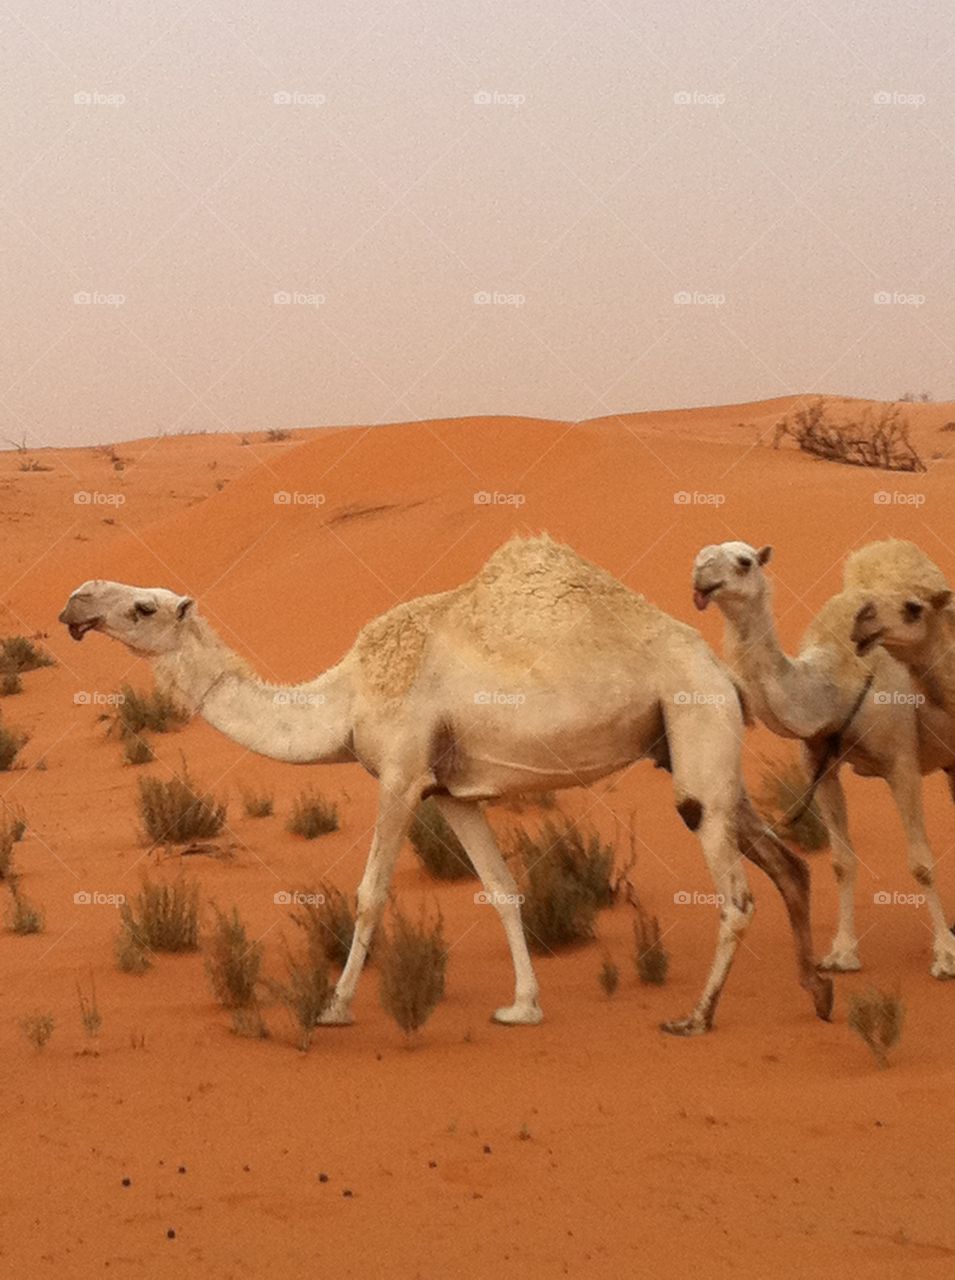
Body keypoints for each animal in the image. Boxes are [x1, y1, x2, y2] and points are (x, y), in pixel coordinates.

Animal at [61, 535, 834, 1034]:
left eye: (144, 608)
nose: (76, 602)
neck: (346, 697)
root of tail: (722, 670)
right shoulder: (453, 795)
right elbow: (502, 890)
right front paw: (523, 1006)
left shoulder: (402, 773)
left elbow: (371, 894)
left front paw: (335, 1007)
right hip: (691, 750)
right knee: (787, 861)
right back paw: (817, 990)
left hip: (695, 726)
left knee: (736, 893)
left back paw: (696, 1017)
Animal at [686, 540, 952, 977]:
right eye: (700, 557)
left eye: (744, 562)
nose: (702, 577)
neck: (837, 684)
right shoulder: (819, 766)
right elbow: (841, 861)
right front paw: (842, 954)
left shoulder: (901, 762)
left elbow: (921, 863)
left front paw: (946, 956)